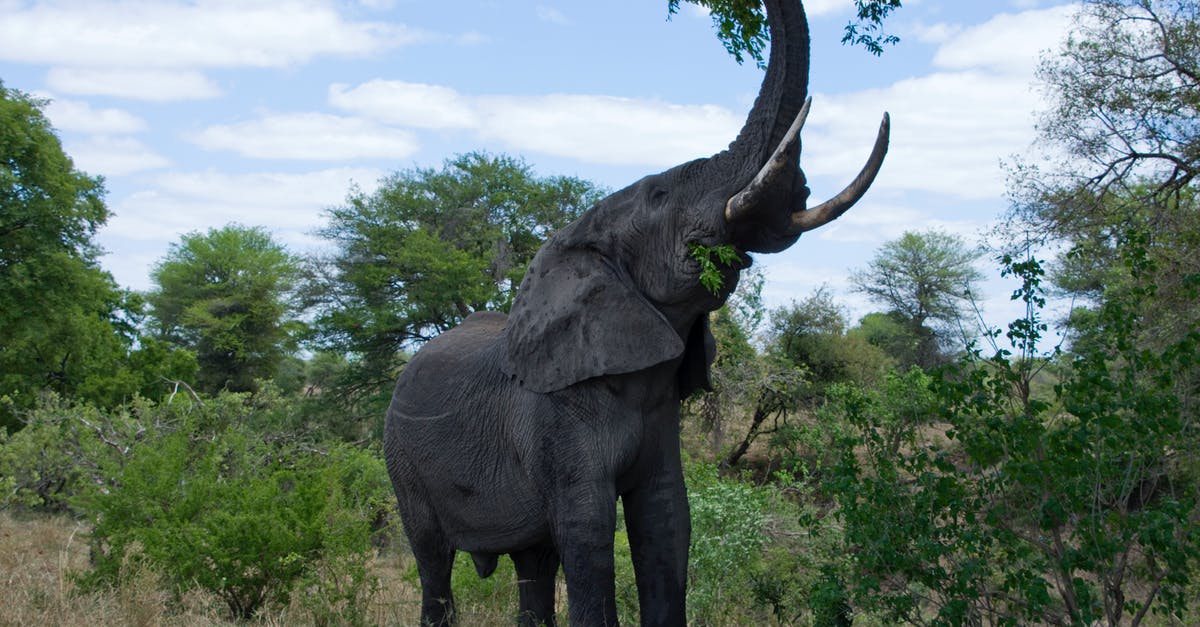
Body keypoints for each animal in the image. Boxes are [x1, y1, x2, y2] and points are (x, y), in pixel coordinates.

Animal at [383, 0, 889, 624]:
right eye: (659, 197)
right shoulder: (558, 414)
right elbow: (589, 534)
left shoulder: (658, 412)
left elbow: (666, 520)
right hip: (402, 463)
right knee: (434, 559)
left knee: (533, 563)